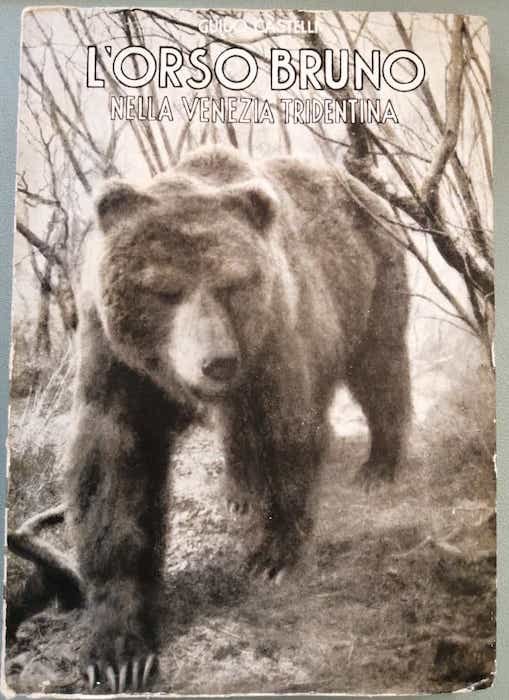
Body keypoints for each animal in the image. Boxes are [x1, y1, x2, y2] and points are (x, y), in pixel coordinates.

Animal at [68, 145, 411, 692]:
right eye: (164, 290)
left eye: (231, 284)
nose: (217, 362)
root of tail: (358, 185)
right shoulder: (116, 362)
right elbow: (113, 473)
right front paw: (119, 651)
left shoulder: (277, 334)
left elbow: (288, 431)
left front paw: (273, 556)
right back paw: (241, 493)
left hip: (370, 276)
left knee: (380, 368)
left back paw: (379, 465)